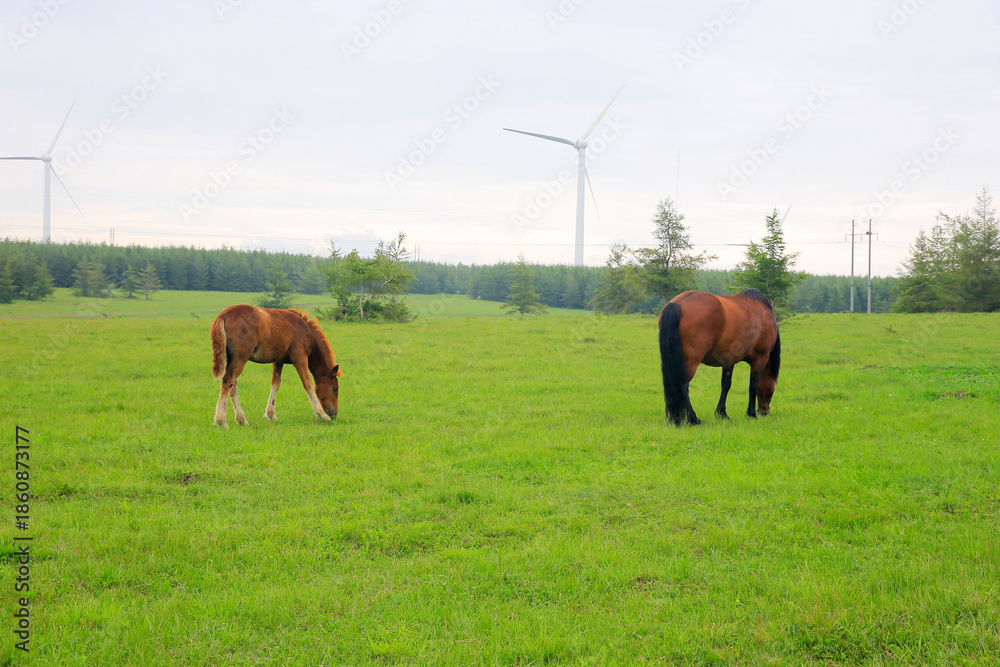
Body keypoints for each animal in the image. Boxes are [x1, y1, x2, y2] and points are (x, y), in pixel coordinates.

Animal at [210, 305, 343, 428]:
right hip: (240, 358)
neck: (306, 330)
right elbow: (308, 383)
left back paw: (241, 419)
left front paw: (270, 414)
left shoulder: (278, 361)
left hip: (230, 359)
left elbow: (275, 383)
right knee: (228, 381)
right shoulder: (300, 358)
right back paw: (222, 421)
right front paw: (322, 415)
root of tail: (223, 316)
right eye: (335, 389)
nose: (334, 414)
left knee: (233, 385)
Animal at [658, 288, 781, 426]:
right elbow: (753, 386)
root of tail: (677, 303)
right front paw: (751, 414)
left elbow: (725, 385)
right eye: (772, 391)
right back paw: (694, 419)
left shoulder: (729, 361)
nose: (765, 411)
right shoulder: (760, 360)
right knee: (683, 386)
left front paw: (722, 413)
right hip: (690, 362)